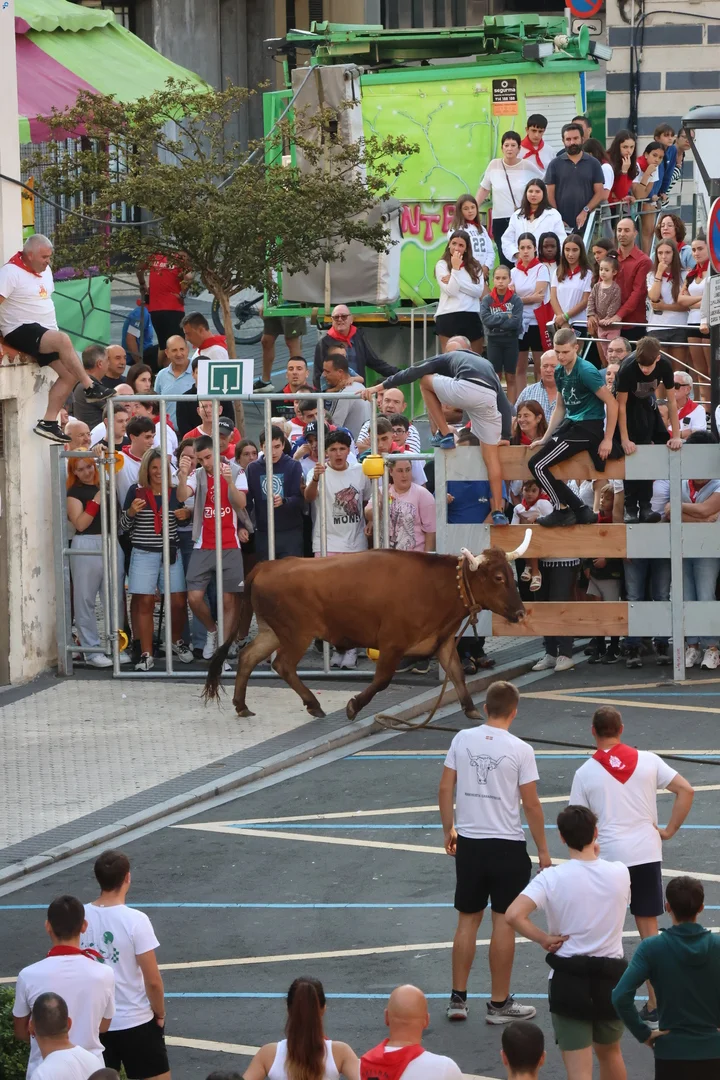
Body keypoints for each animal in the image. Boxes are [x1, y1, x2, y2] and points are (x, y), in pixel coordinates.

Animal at [203, 530, 531, 723]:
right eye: (498, 578)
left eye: (511, 574)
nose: (520, 612)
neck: (437, 587)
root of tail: (265, 566)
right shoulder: (392, 642)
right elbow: (383, 680)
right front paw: (353, 706)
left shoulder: (444, 641)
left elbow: (457, 675)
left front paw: (471, 709)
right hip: (297, 634)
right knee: (282, 665)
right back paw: (312, 703)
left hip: (272, 632)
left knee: (248, 656)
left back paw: (241, 705)